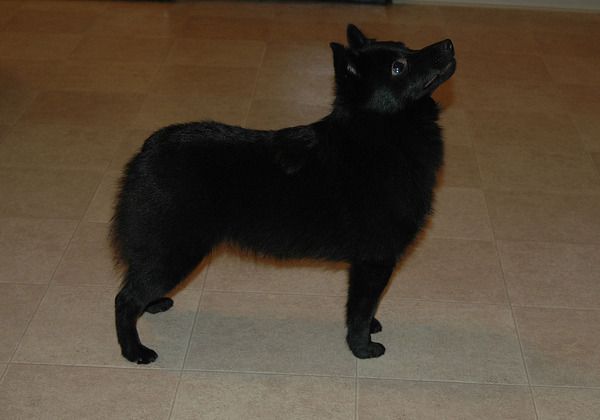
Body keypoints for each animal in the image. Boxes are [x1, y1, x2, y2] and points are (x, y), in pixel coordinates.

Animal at [111, 24, 456, 364]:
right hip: (176, 252)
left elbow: (362, 306)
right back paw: (134, 351)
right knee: (124, 299)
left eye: (406, 47)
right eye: (399, 67)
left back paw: (154, 304)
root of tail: (148, 150)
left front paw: (370, 328)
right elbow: (360, 309)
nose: (449, 44)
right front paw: (362, 348)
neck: (378, 133)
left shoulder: (364, 264)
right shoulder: (375, 260)